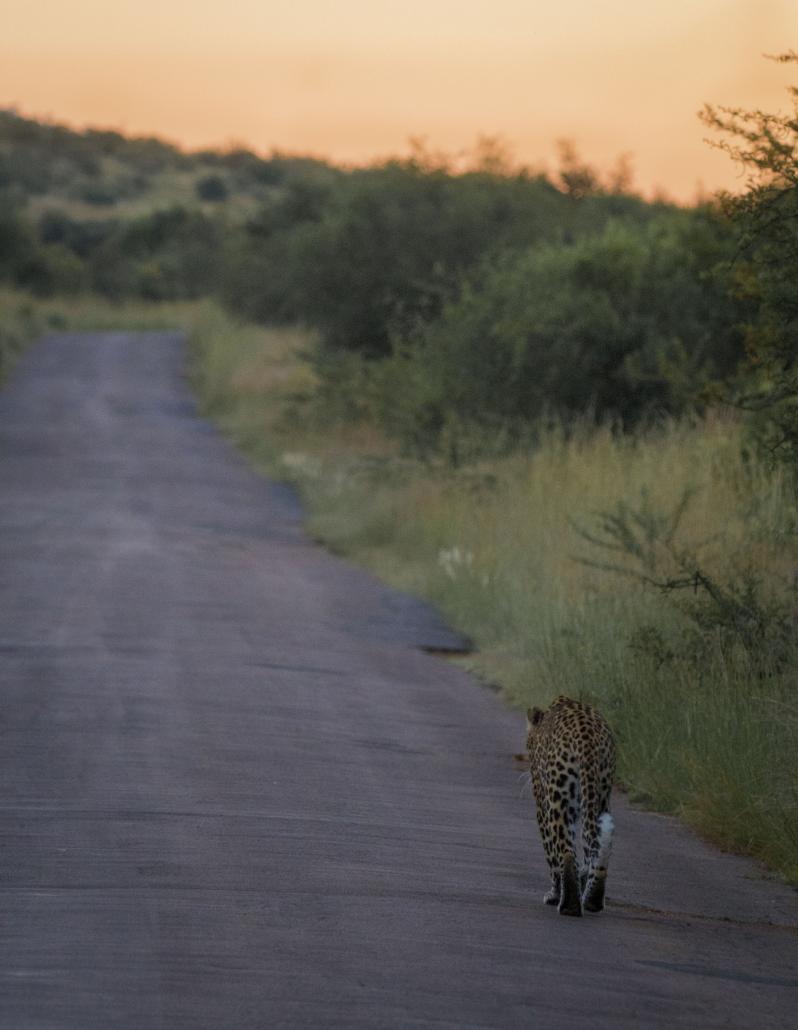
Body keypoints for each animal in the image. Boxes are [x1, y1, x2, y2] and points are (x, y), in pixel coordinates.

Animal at [522, 695, 616, 917]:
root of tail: (587, 737)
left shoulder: (542, 805)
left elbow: (551, 854)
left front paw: (553, 895)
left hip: (559, 800)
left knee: (565, 852)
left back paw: (569, 905)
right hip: (600, 795)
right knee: (594, 846)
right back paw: (592, 900)